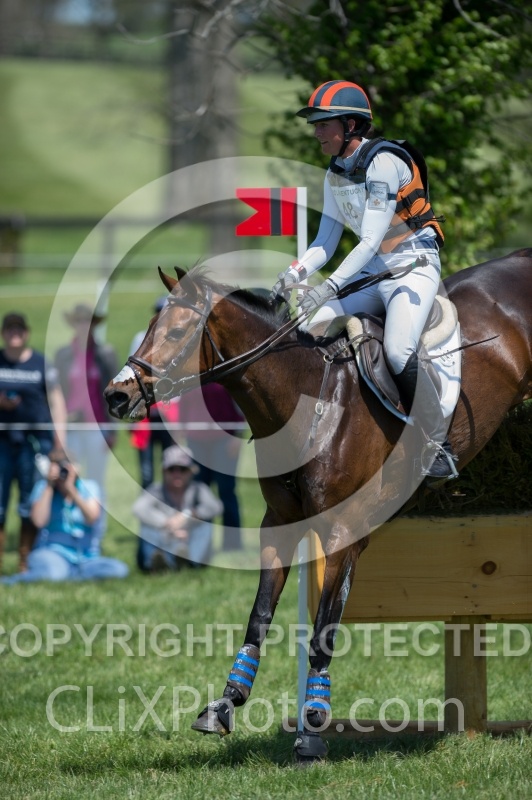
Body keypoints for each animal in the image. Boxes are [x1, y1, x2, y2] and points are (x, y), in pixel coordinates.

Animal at [104, 248, 532, 762]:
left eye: (173, 333)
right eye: (150, 328)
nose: (115, 395)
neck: (306, 404)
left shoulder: (344, 533)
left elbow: (325, 627)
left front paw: (311, 730)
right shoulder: (281, 524)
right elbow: (259, 617)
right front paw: (226, 703)